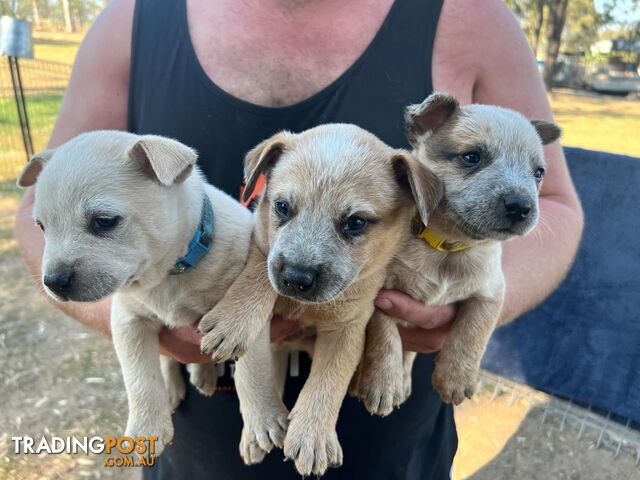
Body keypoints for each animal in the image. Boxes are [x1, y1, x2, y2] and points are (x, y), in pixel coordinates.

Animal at [17, 131, 252, 454]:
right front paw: (147, 430)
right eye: (41, 226)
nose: (52, 282)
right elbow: (140, 375)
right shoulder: (129, 320)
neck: (169, 274)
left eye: (104, 221)